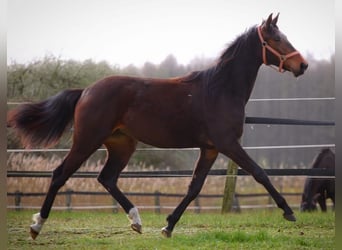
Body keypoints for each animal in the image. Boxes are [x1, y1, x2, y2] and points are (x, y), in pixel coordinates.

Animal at [7, 13, 308, 238]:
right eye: (276, 38)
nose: (302, 65)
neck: (220, 90)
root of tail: (85, 91)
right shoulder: (228, 144)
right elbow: (259, 173)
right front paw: (288, 211)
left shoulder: (210, 148)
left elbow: (194, 188)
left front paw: (168, 226)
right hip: (87, 140)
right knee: (60, 174)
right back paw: (36, 226)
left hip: (122, 145)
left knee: (107, 178)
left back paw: (136, 221)